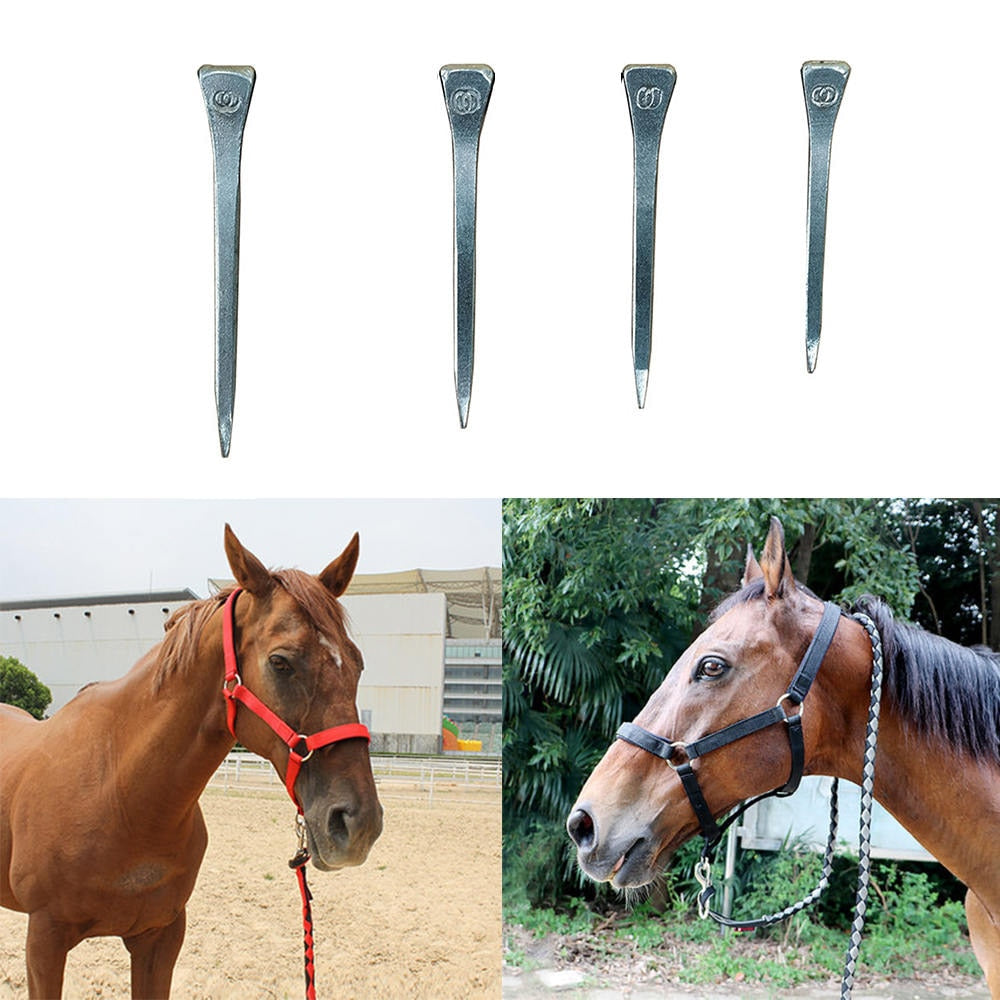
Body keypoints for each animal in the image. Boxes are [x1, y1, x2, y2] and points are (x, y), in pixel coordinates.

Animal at [0, 525, 383, 999]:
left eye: (357, 663)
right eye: (280, 662)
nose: (358, 823)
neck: (120, 794)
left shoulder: (160, 938)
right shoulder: (45, 941)